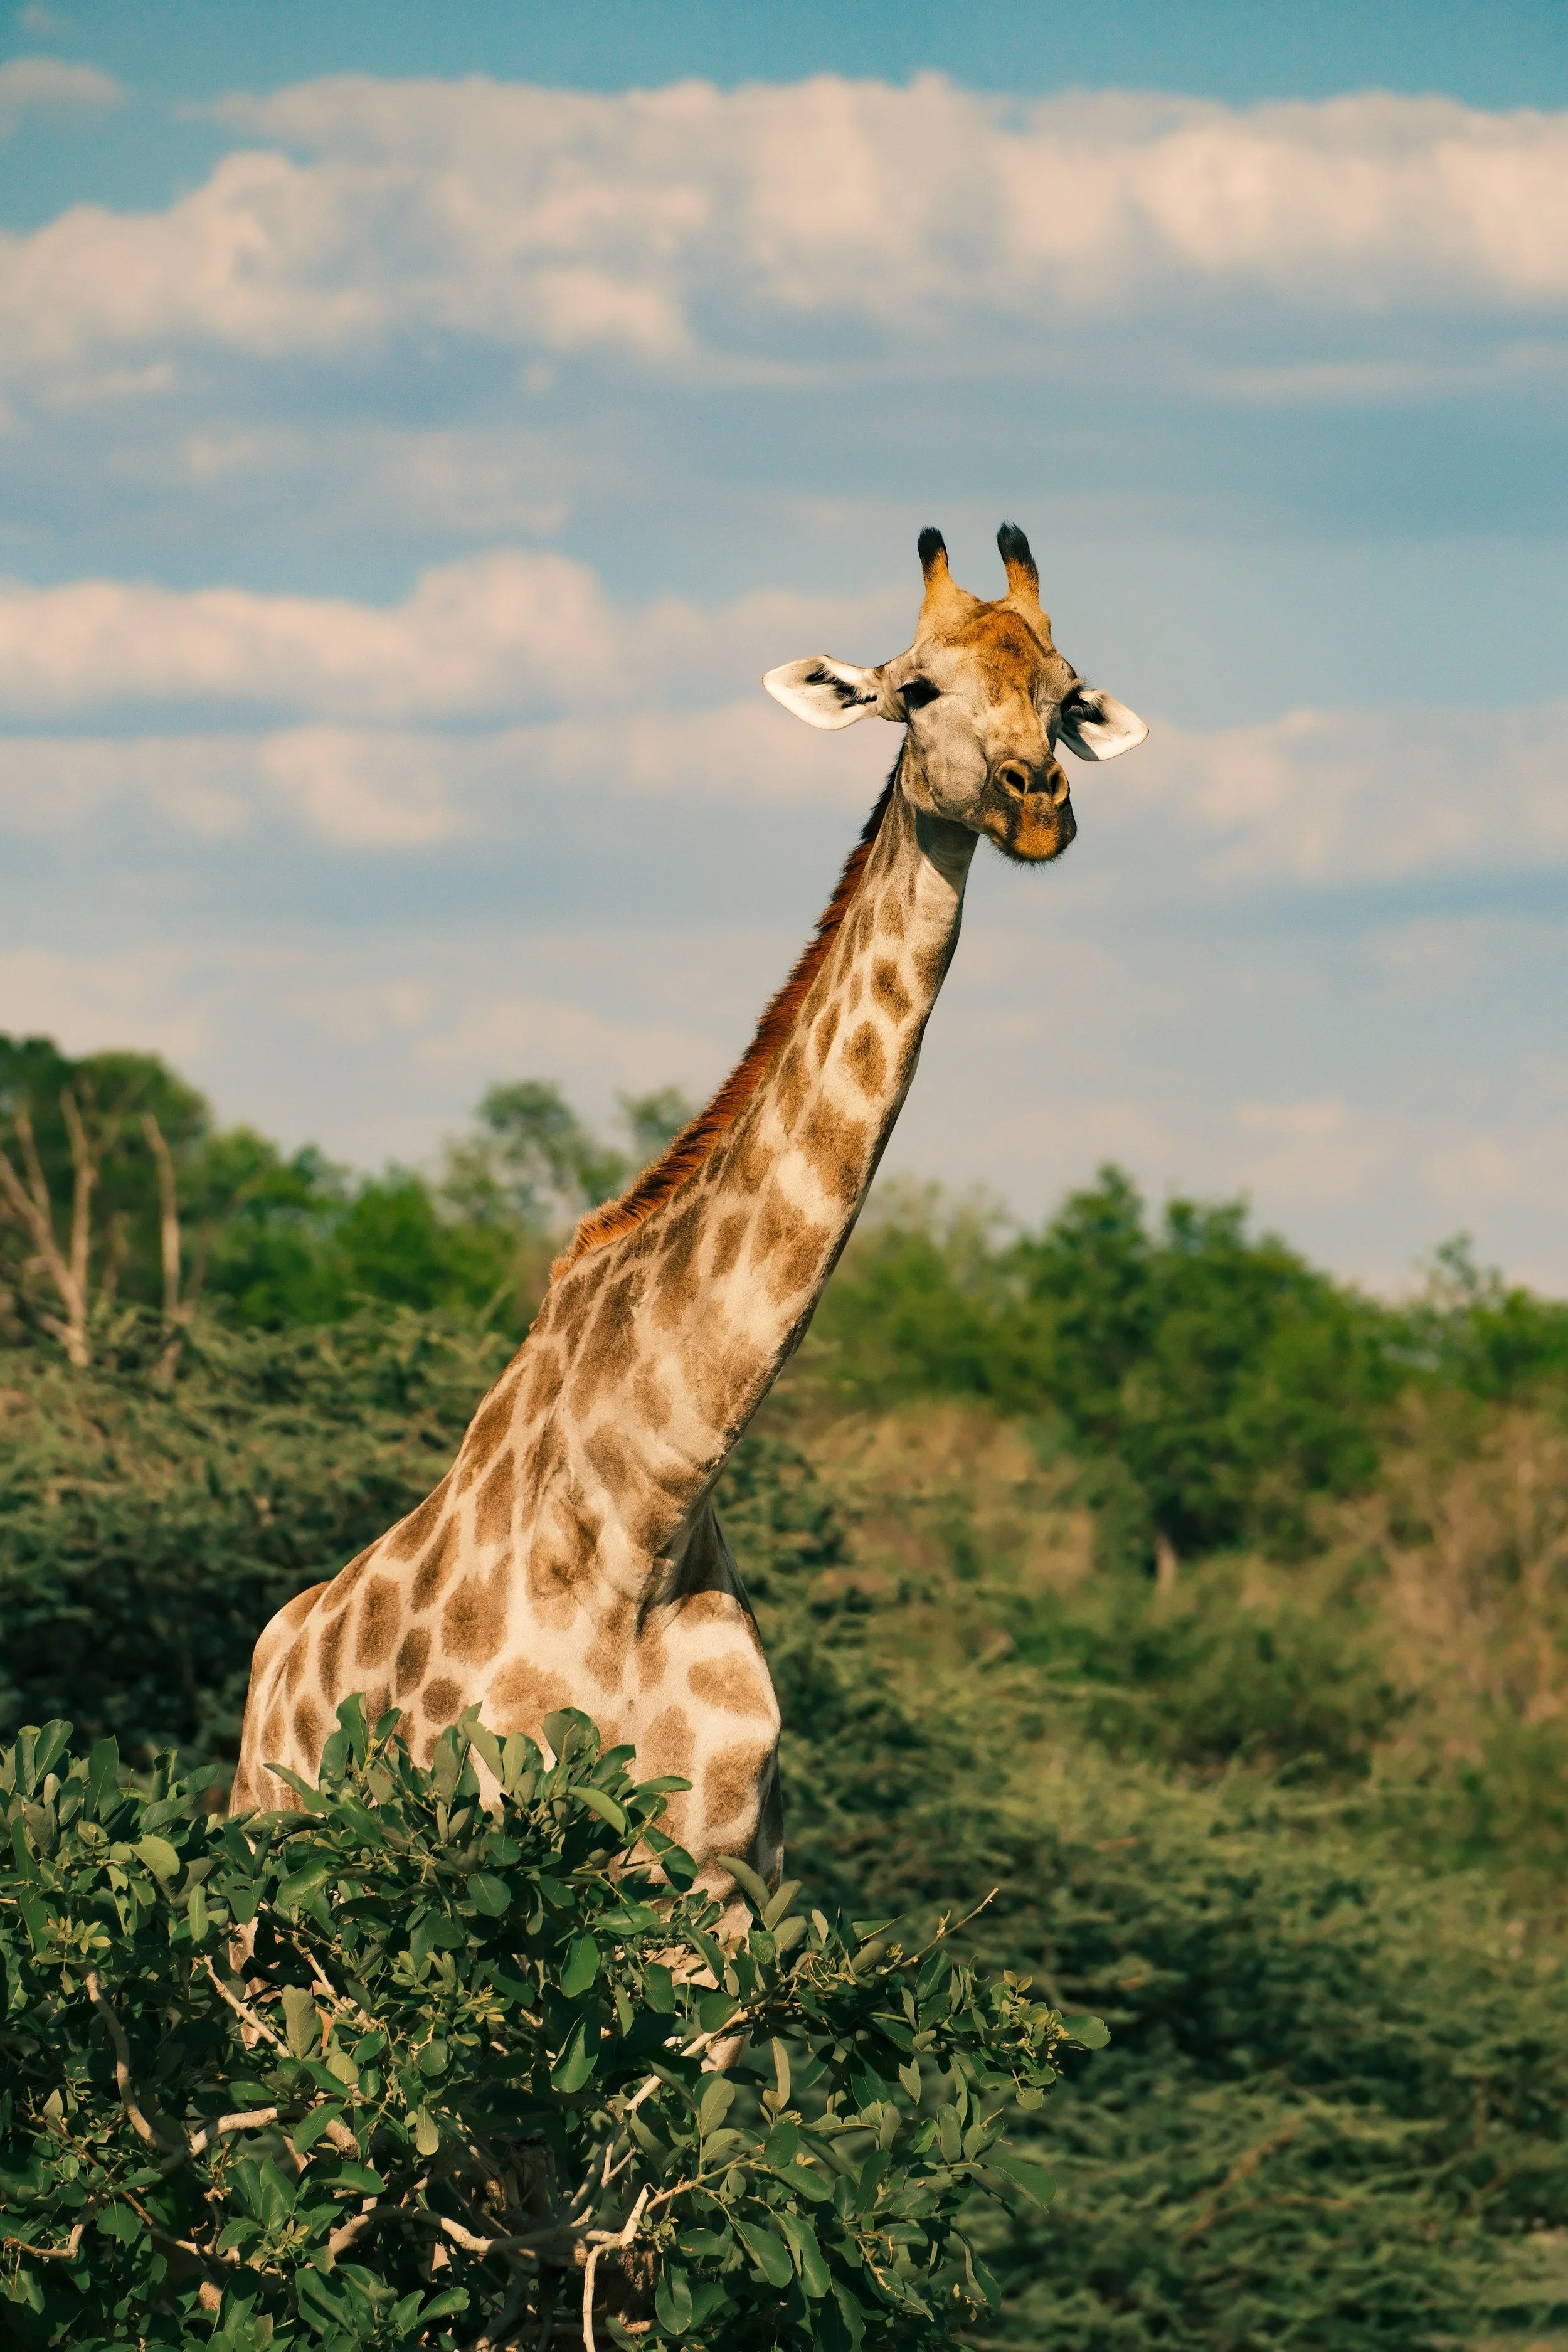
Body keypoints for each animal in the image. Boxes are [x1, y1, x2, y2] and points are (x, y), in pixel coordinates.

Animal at [231, 524, 1148, 1901]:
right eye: (917, 687)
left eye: (1063, 692)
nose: (1034, 799)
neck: (646, 1520)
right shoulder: (490, 1861)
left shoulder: (717, 1883)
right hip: (280, 1908)